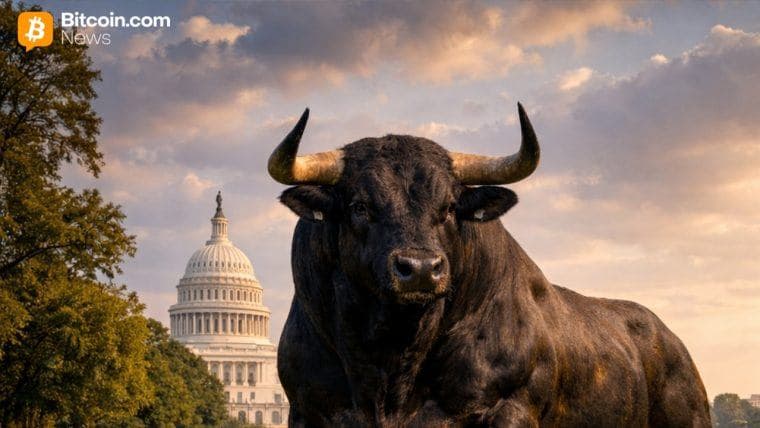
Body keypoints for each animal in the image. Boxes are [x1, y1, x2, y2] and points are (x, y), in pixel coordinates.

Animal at [268, 104, 711, 427]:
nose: (421, 268)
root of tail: (672, 342)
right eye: (360, 206)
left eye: (449, 206)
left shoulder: (508, 409)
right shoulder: (308, 412)